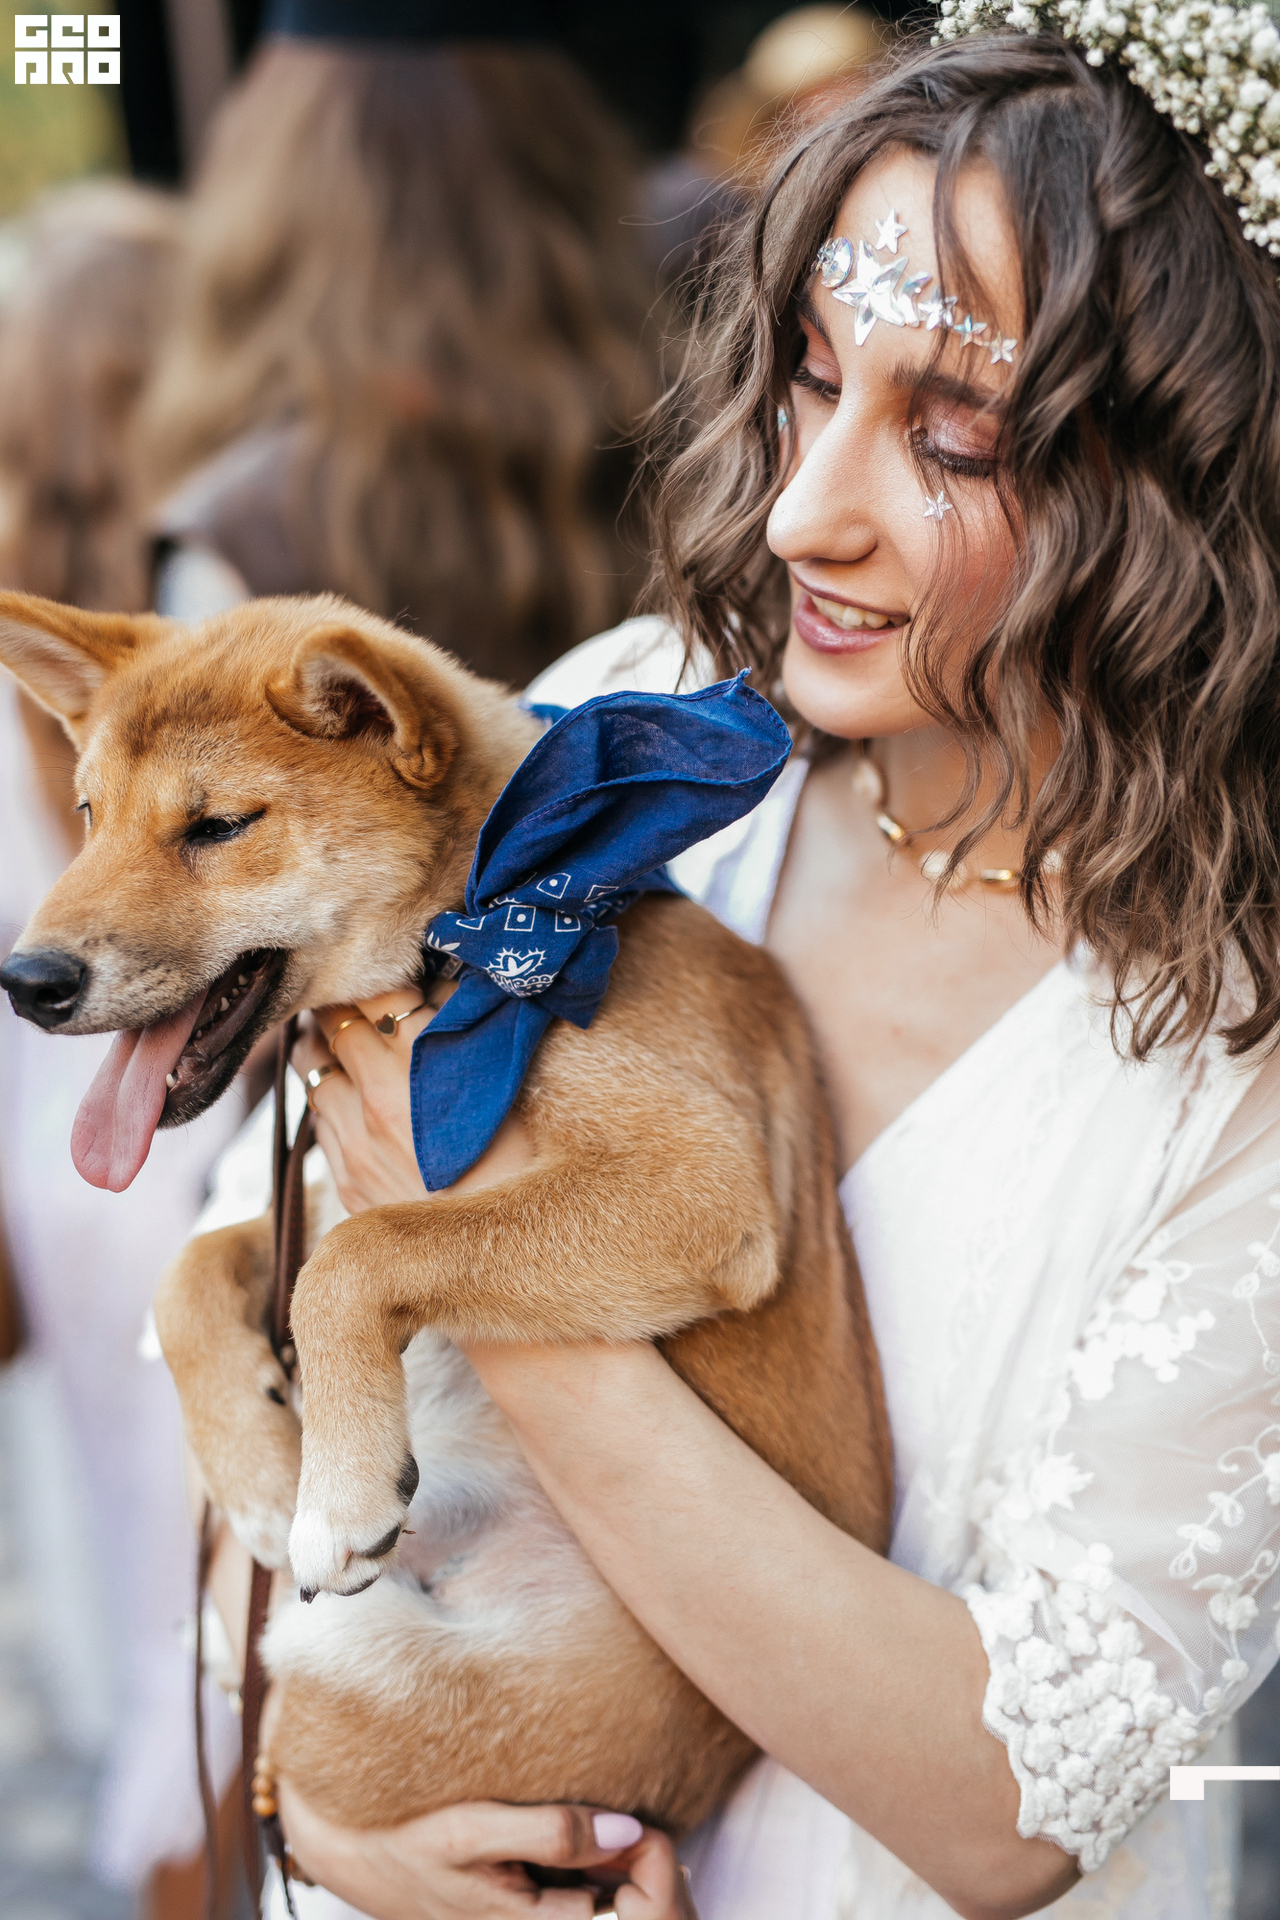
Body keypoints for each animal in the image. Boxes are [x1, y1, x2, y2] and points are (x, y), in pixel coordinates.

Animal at [0, 587, 891, 1835]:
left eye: (217, 827)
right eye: (90, 814)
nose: (26, 983)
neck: (474, 941)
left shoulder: (695, 1180)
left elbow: (361, 1257)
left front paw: (329, 1489)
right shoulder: (319, 1177)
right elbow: (192, 1275)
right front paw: (260, 1477)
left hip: (347, 1668)